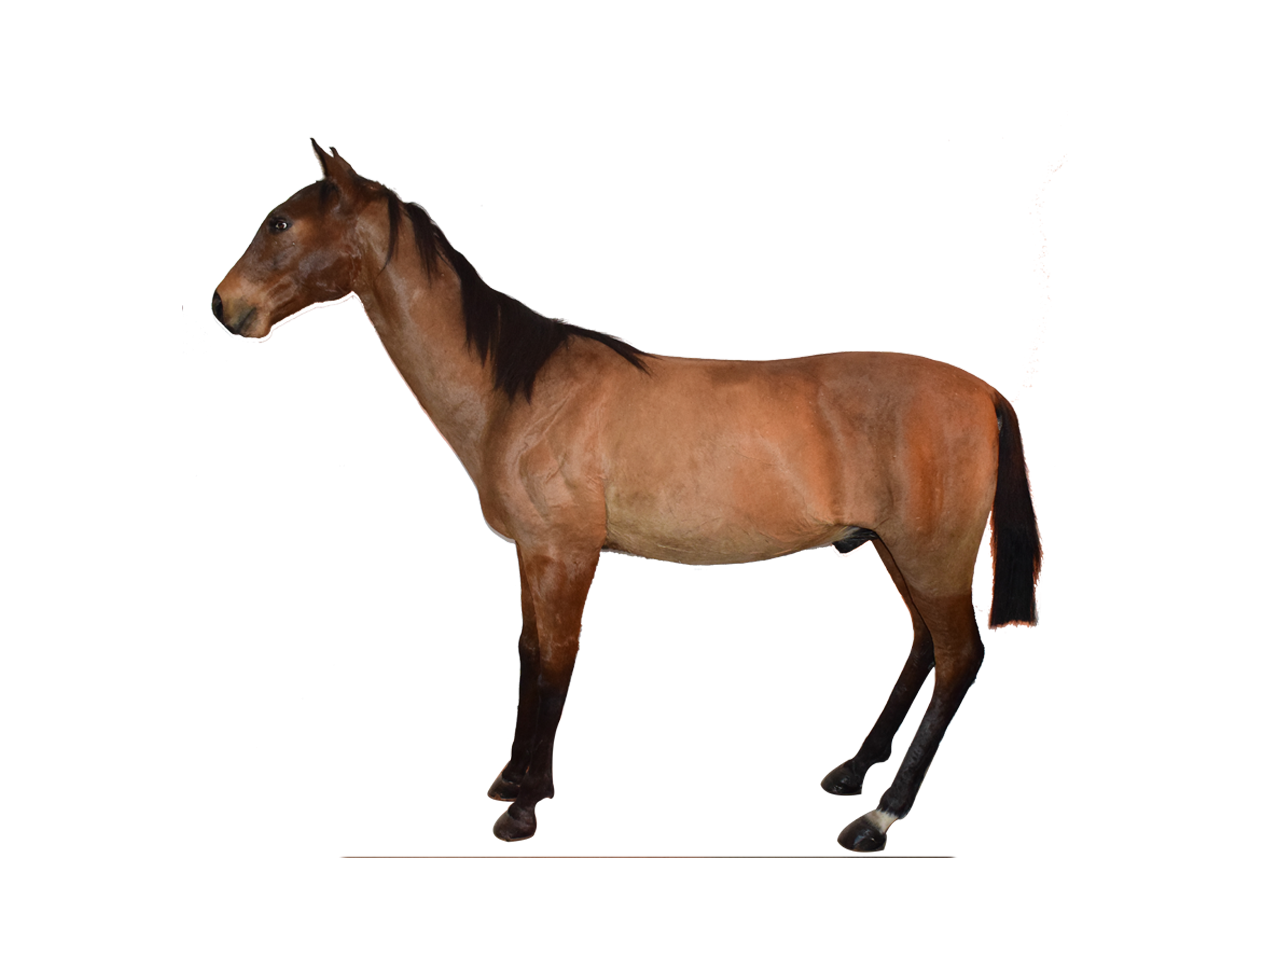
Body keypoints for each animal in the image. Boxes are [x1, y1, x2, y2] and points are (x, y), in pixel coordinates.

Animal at [212, 139, 1043, 853]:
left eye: (280, 221)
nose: (224, 307)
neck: (522, 390)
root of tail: (986, 396)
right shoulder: (537, 555)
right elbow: (529, 655)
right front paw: (512, 781)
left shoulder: (567, 554)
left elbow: (553, 667)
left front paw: (522, 807)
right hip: (898, 554)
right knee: (922, 649)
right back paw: (852, 772)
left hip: (930, 557)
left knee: (957, 659)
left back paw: (880, 817)